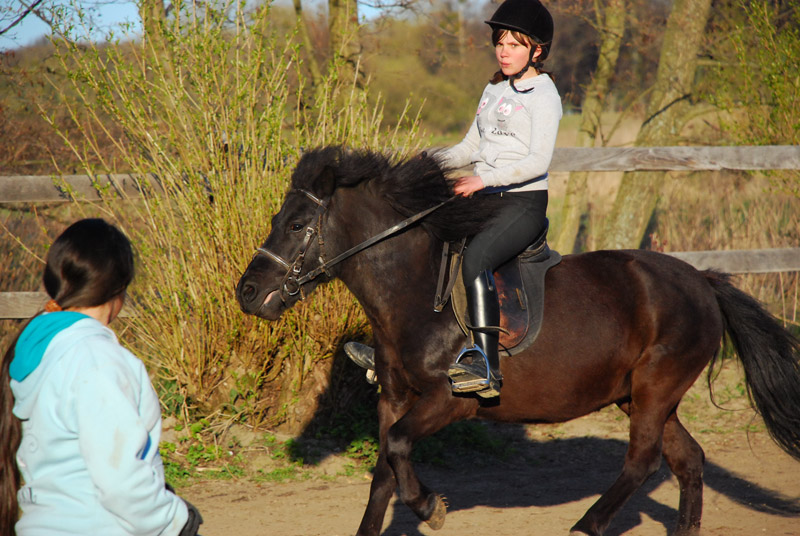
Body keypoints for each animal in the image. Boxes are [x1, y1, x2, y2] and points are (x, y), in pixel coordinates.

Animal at [236, 147, 800, 536]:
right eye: (278, 220)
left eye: (297, 224)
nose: (247, 293)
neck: (415, 291)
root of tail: (701, 279)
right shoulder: (393, 398)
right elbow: (384, 472)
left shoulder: (450, 402)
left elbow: (396, 448)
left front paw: (431, 508)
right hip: (641, 395)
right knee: (689, 460)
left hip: (654, 390)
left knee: (643, 460)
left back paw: (585, 526)